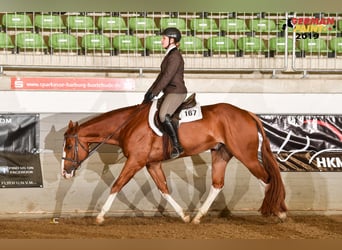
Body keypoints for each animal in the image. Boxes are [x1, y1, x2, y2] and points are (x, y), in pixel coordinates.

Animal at [60, 100, 286, 224]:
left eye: (69, 146)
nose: (65, 173)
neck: (127, 125)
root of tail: (247, 113)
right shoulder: (151, 163)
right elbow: (164, 189)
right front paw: (183, 216)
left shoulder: (135, 161)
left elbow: (116, 185)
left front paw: (100, 216)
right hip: (221, 154)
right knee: (218, 184)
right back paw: (197, 217)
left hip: (245, 154)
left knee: (266, 178)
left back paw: (278, 211)